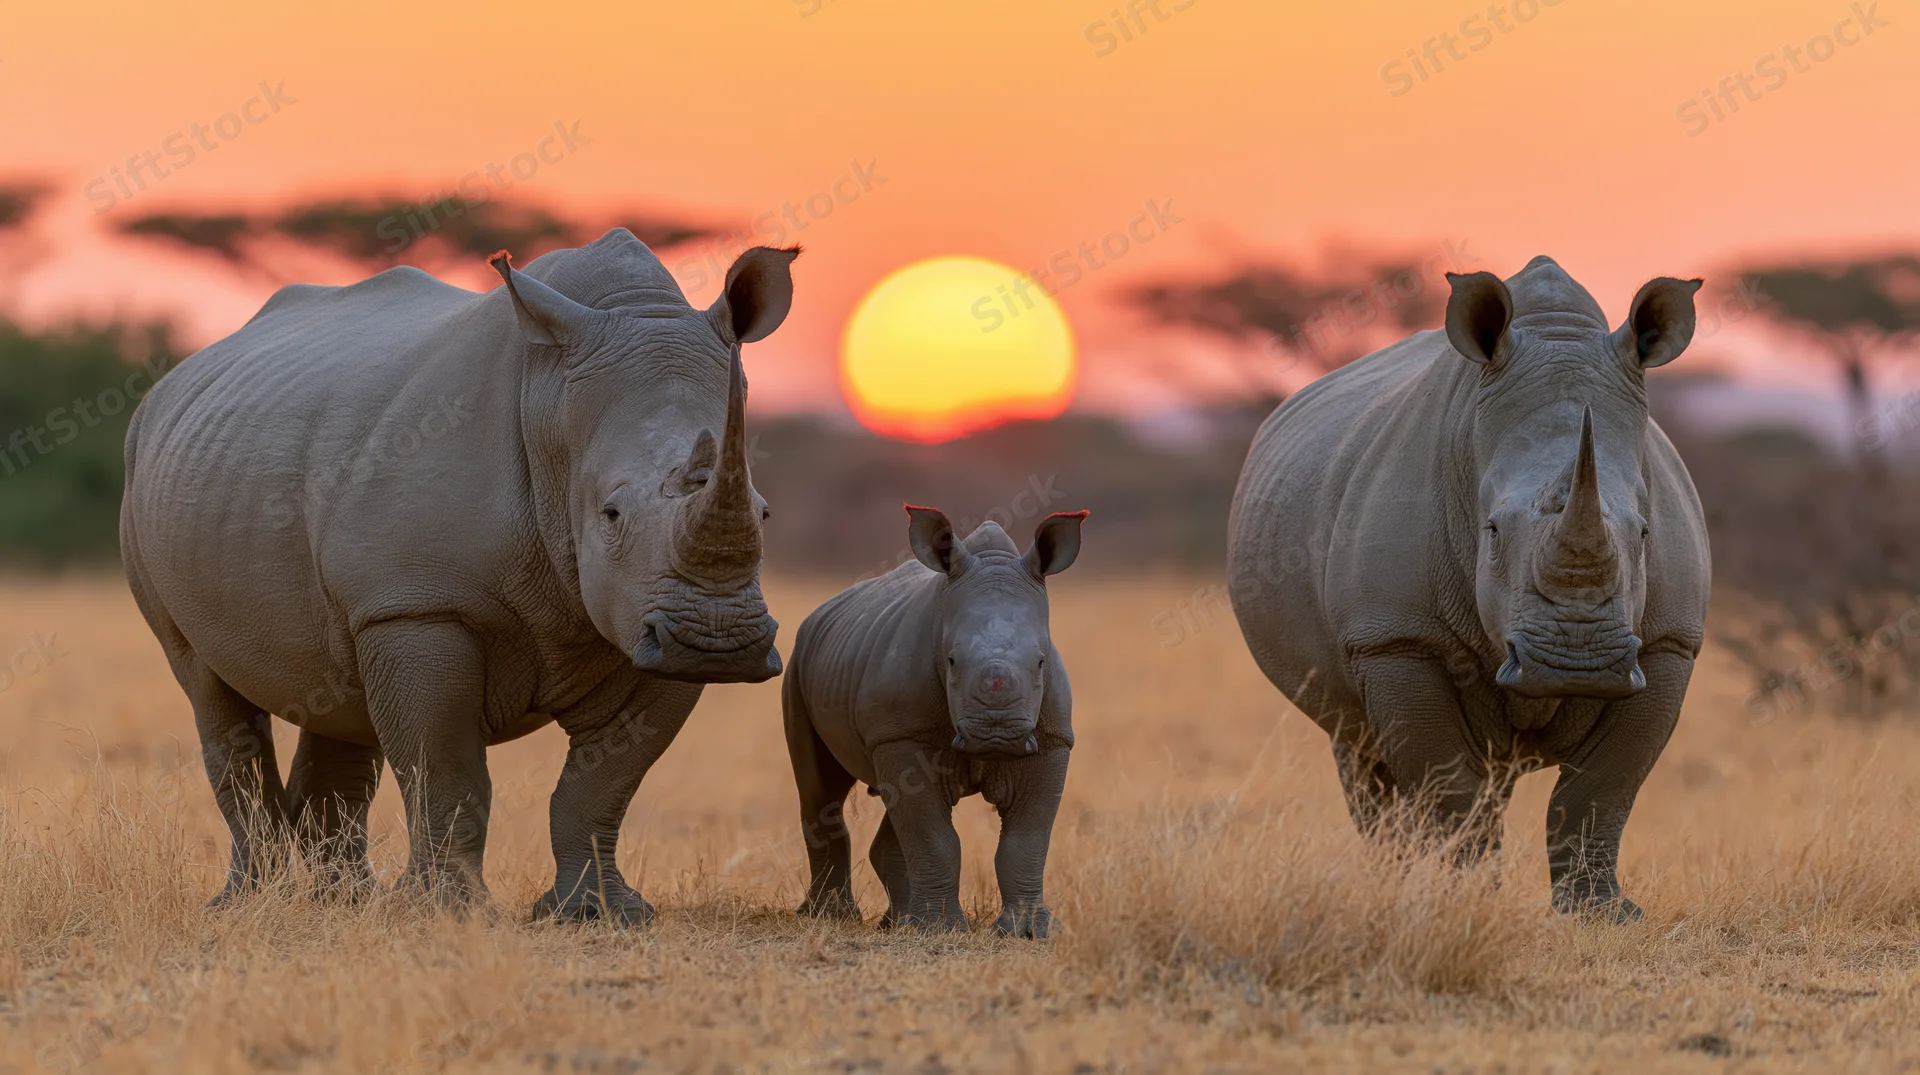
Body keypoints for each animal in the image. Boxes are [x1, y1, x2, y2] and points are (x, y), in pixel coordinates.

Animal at [120, 229, 797, 922]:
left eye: (766, 512)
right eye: (610, 513)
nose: (717, 640)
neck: (552, 415)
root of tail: (172, 383)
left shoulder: (644, 621)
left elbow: (604, 781)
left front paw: (602, 915)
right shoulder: (418, 604)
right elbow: (445, 766)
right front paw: (451, 913)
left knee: (338, 697)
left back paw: (343, 905)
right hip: (145, 477)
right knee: (208, 686)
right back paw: (248, 906)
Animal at [783, 506, 1086, 936]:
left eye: (1041, 662)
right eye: (952, 661)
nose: (997, 734)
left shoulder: (1053, 739)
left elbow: (1027, 840)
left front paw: (1030, 932)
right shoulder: (902, 734)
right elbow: (934, 836)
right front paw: (940, 930)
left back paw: (897, 922)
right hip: (797, 659)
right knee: (822, 789)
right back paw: (832, 916)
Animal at [1227, 257, 1711, 920]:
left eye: (1644, 532)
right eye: (1492, 531)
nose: (1577, 662)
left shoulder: (1668, 643)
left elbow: (1603, 787)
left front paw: (1603, 915)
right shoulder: (1396, 639)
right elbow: (1451, 787)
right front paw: (1464, 907)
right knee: (1363, 752)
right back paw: (1390, 889)